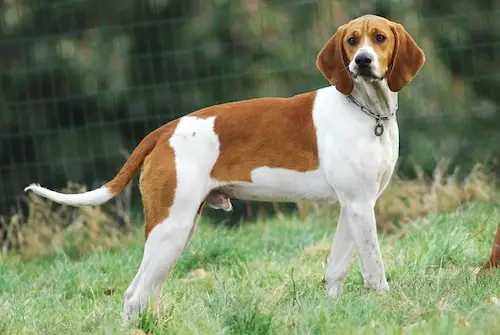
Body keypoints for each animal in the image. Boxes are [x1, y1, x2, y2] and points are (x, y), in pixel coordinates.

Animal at [24, 15, 426, 320]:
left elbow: (336, 269)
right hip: (170, 229)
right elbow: (374, 270)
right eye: (352, 41)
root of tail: (165, 130)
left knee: (146, 293)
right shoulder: (359, 207)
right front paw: (386, 305)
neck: (367, 112)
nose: (362, 61)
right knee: (134, 295)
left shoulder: (353, 207)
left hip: (178, 232)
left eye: (379, 38)